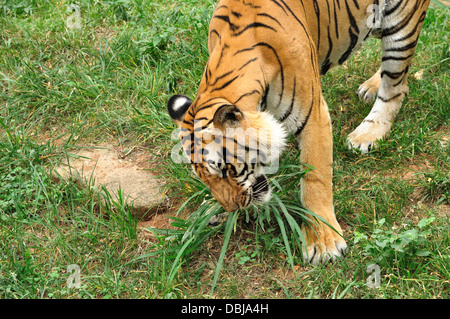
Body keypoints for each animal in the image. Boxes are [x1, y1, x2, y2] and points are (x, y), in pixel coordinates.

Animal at [167, 0, 430, 264]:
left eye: (226, 170)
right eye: (204, 178)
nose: (233, 209)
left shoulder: (314, 114)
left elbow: (316, 178)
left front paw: (324, 243)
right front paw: (210, 210)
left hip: (401, 30)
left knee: (396, 86)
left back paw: (367, 132)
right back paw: (372, 85)